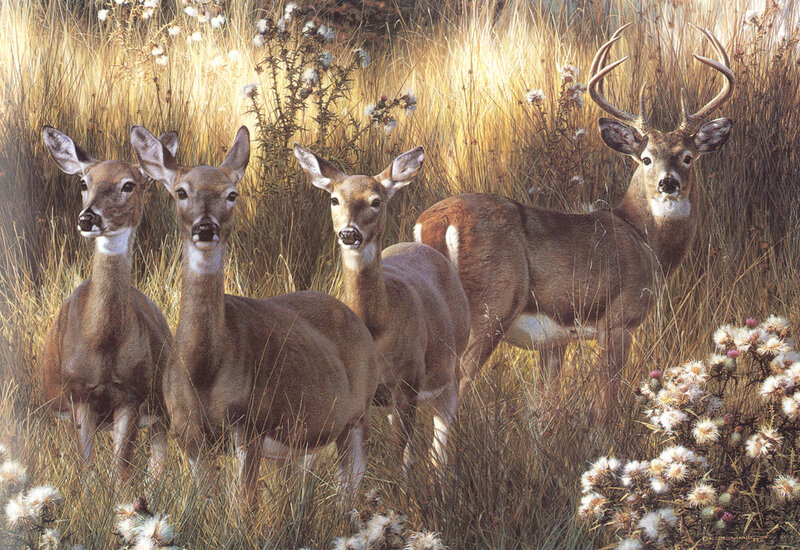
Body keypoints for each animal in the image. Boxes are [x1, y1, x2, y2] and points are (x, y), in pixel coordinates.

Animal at [39, 126, 176, 483]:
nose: (87, 218)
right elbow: (86, 468)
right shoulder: (77, 394)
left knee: (157, 467)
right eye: (83, 182)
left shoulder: (131, 394)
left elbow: (121, 471)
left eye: (128, 185)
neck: (101, 342)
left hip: (161, 410)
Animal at [130, 125, 379, 503]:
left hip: (358, 416)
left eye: (232, 194)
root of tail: (353, 317)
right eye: (181, 192)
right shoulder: (187, 433)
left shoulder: (250, 425)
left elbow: (242, 507)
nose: (206, 228)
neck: (204, 368)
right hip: (302, 442)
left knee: (350, 490)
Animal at [294, 144, 470, 470]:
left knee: (439, 441)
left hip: (451, 366)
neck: (377, 327)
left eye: (376, 201)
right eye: (334, 199)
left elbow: (397, 454)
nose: (349, 234)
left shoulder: (408, 381)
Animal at [414, 23, 734, 420]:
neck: (644, 241)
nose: (668, 183)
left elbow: (544, 409)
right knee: (451, 390)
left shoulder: (553, 341)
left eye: (688, 157)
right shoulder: (620, 319)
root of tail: (435, 223)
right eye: (646, 158)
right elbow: (605, 402)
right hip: (488, 308)